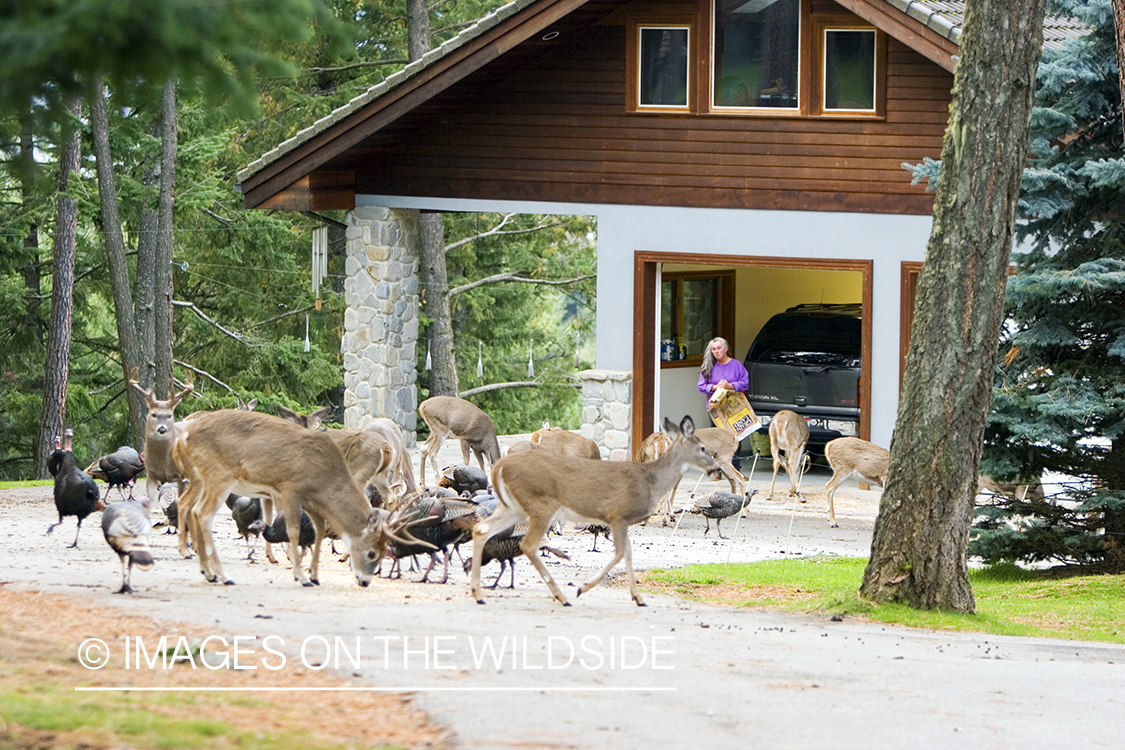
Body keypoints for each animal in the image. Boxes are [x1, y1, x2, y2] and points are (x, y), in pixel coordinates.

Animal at [130, 375, 194, 503]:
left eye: (170, 415)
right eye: (153, 414)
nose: (162, 428)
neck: (163, 462)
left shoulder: (180, 476)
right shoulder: (151, 475)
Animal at [468, 413, 720, 607]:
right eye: (703, 448)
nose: (716, 468)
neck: (650, 480)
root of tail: (500, 466)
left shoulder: (621, 520)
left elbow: (628, 553)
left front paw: (638, 597)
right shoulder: (617, 514)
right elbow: (620, 552)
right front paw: (583, 588)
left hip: (514, 507)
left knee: (482, 529)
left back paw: (478, 594)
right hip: (540, 505)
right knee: (527, 544)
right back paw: (562, 596)